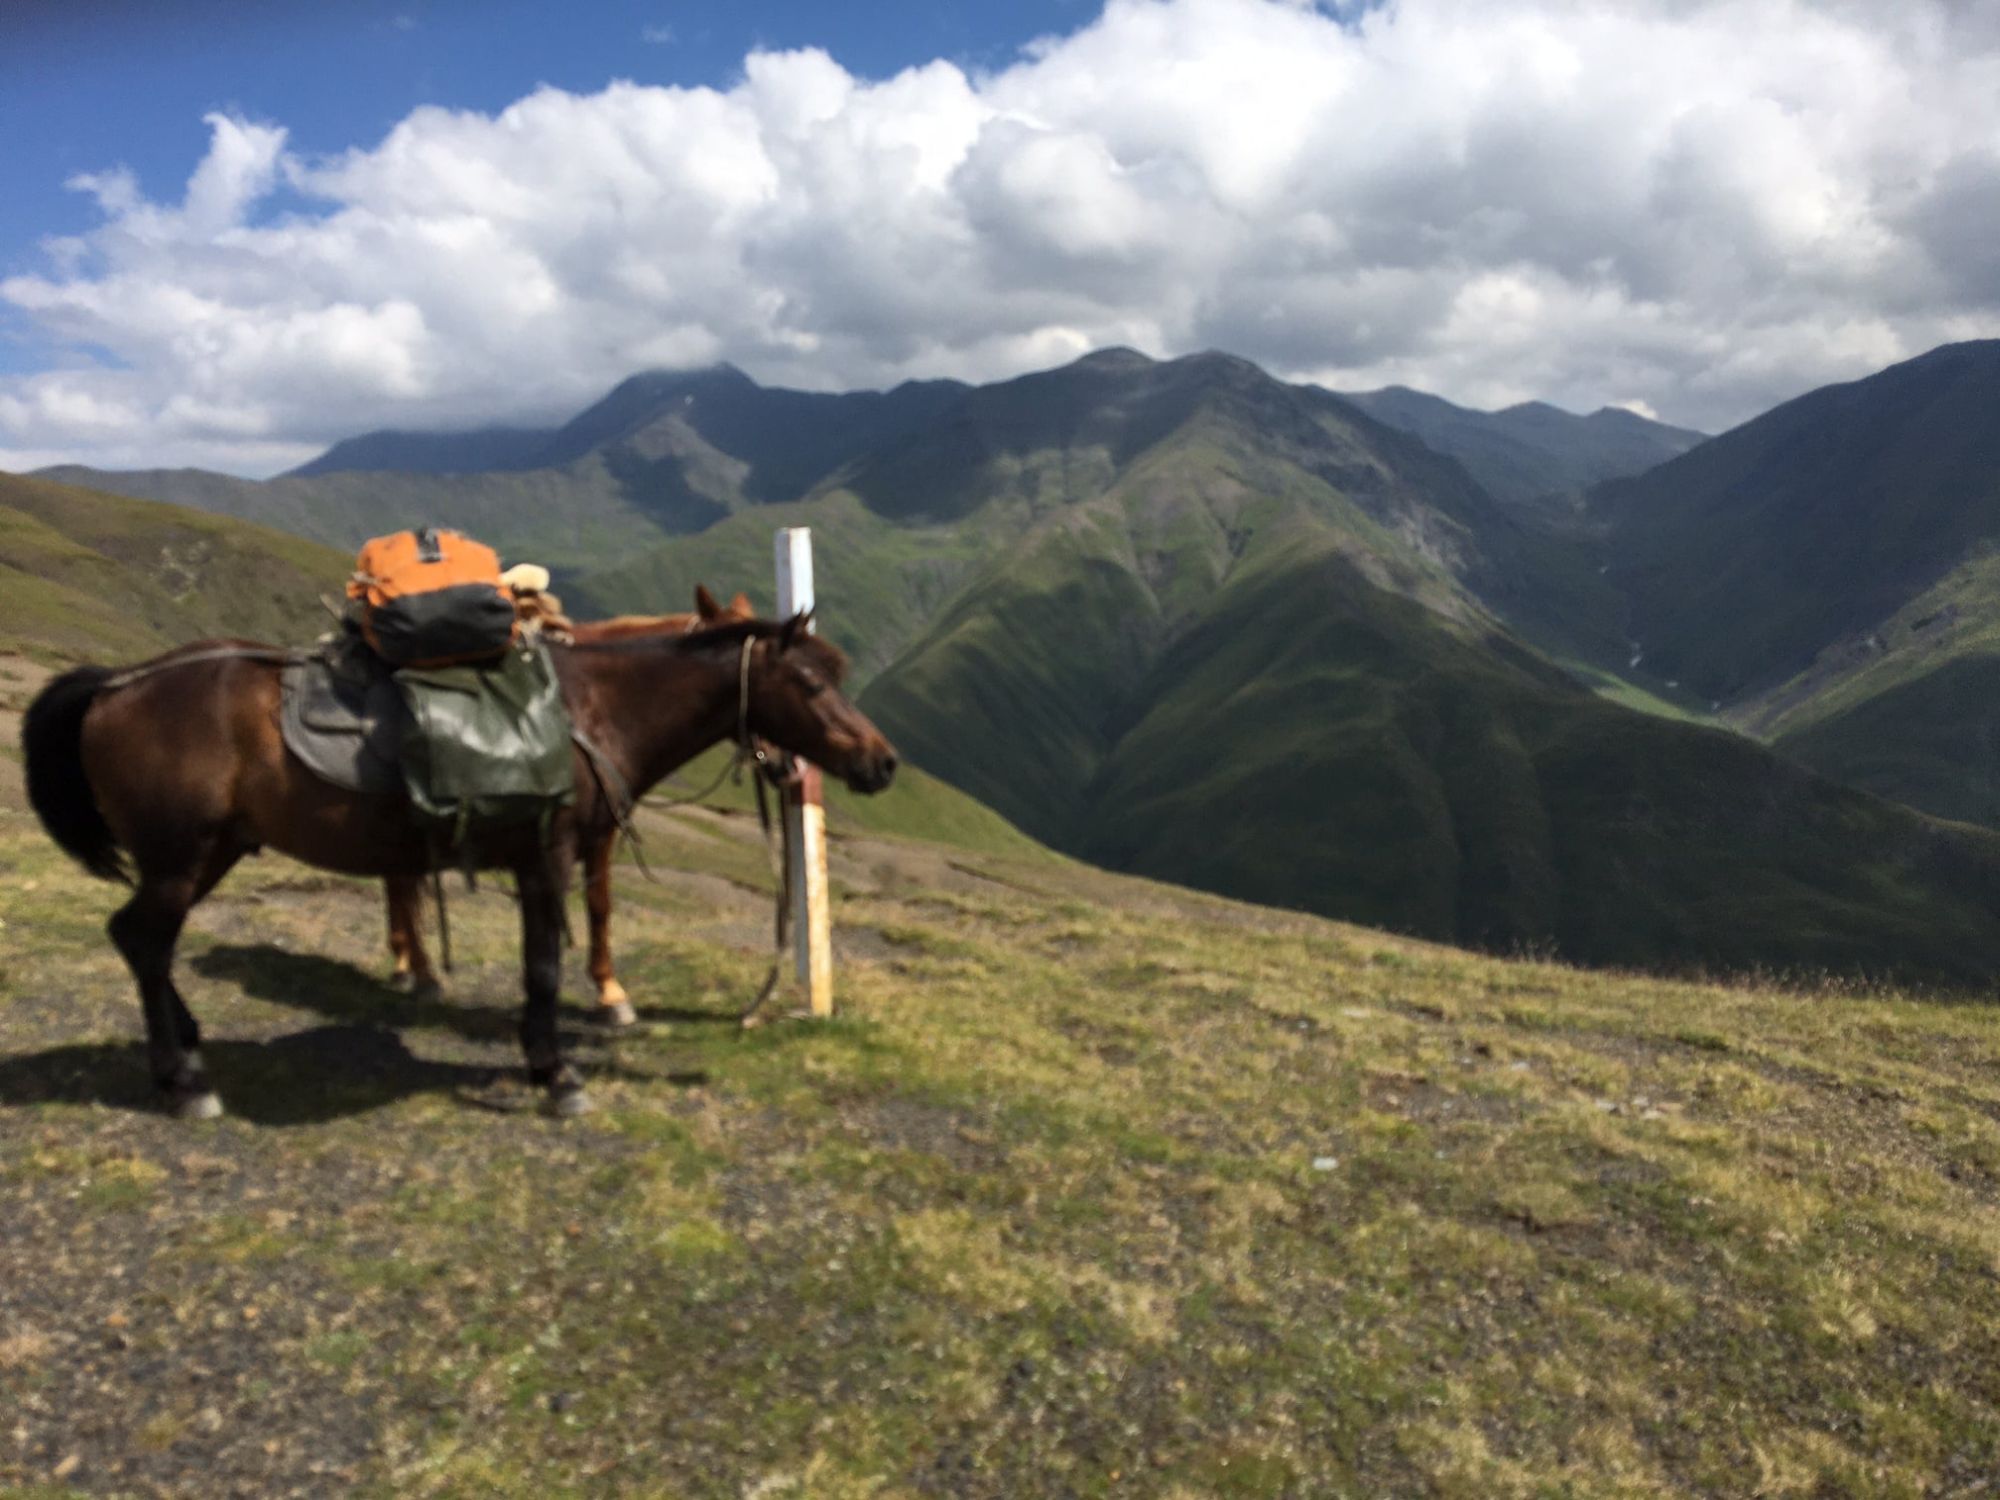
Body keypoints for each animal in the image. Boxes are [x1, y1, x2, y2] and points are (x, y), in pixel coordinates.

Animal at [376, 588, 756, 1024]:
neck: (600, 703)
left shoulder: (602, 829)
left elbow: (599, 903)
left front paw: (610, 992)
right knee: (400, 883)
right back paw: (415, 970)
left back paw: (406, 963)